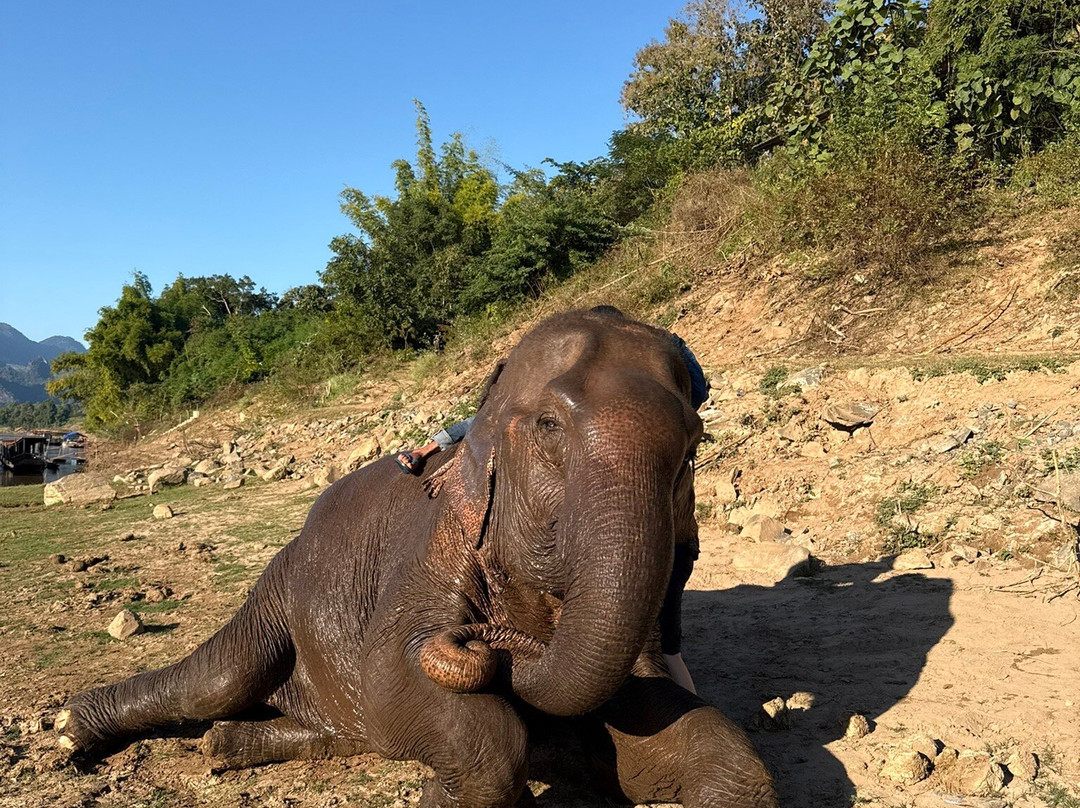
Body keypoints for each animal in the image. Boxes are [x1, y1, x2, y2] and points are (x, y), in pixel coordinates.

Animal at [56, 308, 778, 808]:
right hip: (277, 588)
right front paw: (449, 788)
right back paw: (69, 730)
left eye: (695, 445)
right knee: (220, 679)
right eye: (549, 427)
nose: (486, 640)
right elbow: (400, 677)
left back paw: (220, 745)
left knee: (343, 727)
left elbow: (700, 742)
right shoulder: (435, 542)